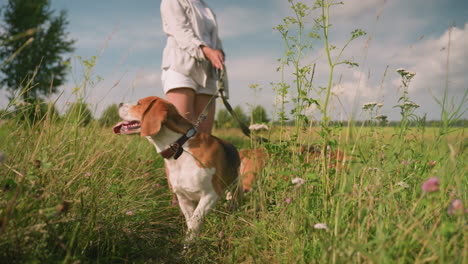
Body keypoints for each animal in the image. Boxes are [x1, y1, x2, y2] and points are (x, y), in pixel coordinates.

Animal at [113, 96, 241, 244]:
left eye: (139, 104)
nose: (119, 103)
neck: (180, 147)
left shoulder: (210, 194)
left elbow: (194, 222)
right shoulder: (183, 197)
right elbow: (190, 223)